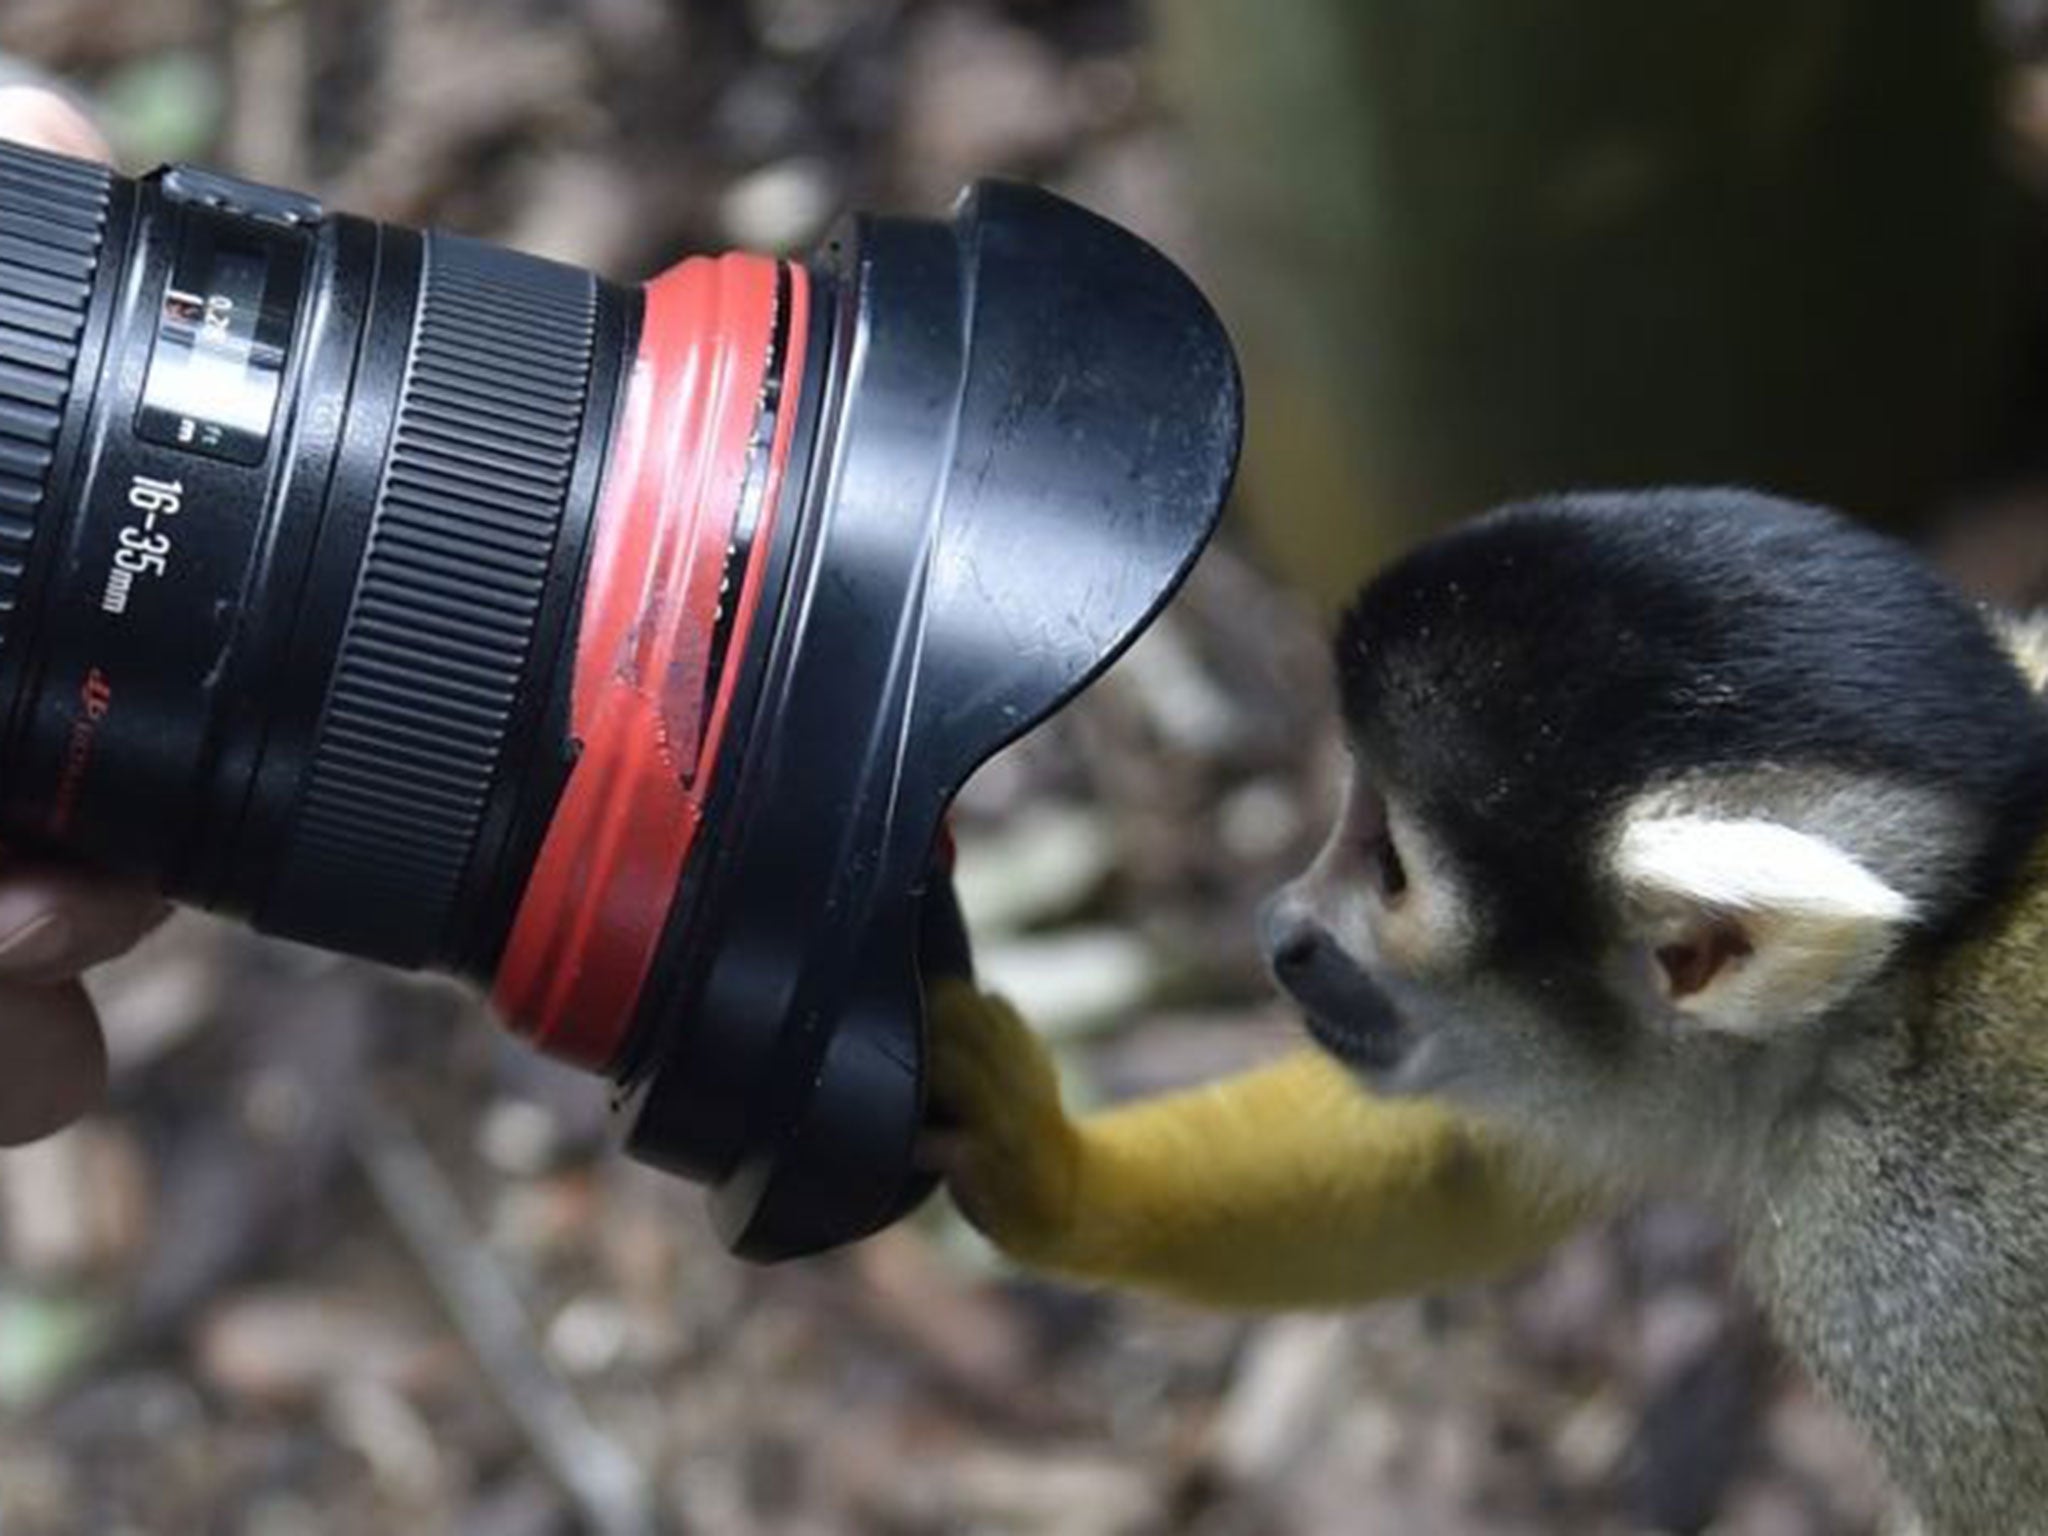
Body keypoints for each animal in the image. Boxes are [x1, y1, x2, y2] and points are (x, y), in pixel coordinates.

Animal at [929, 488, 2048, 1535]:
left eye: (1388, 869)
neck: (1888, 1005)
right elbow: (1478, 1163)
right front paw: (1053, 1172)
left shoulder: (1918, 1288)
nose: (1283, 931)